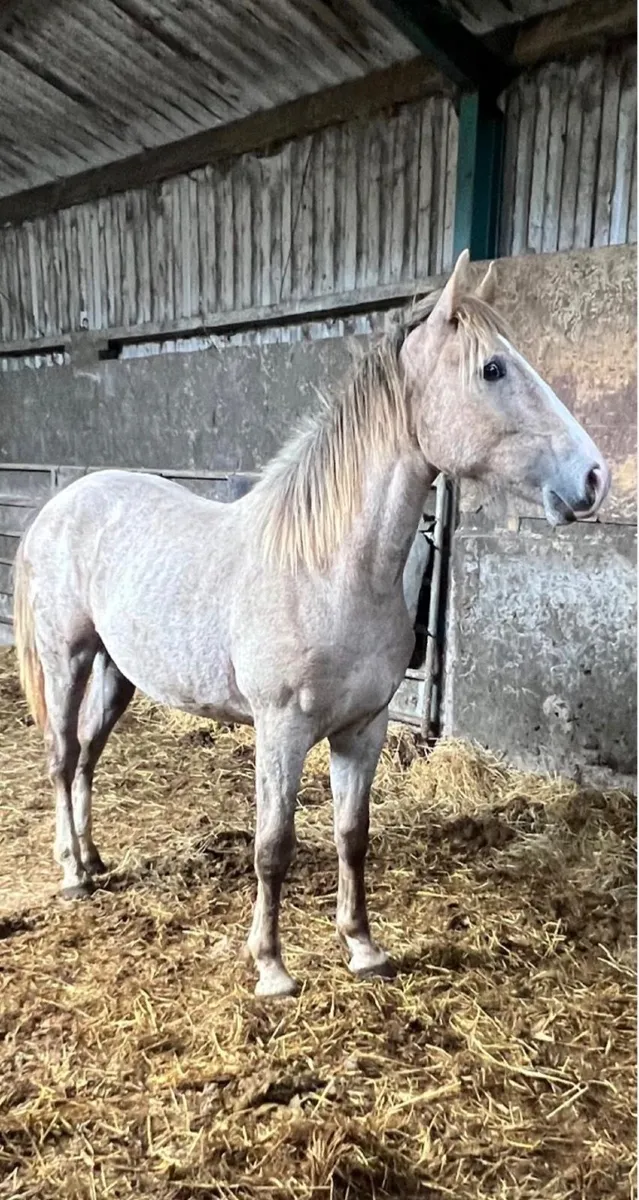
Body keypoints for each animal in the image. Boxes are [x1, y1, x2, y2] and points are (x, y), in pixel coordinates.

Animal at [13, 250, 610, 998]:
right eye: (493, 369)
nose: (594, 477)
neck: (329, 570)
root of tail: (61, 504)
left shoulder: (363, 729)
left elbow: (352, 837)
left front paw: (362, 946)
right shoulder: (282, 730)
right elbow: (274, 846)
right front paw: (272, 968)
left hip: (119, 671)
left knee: (90, 754)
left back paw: (93, 859)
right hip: (65, 657)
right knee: (63, 757)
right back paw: (71, 873)